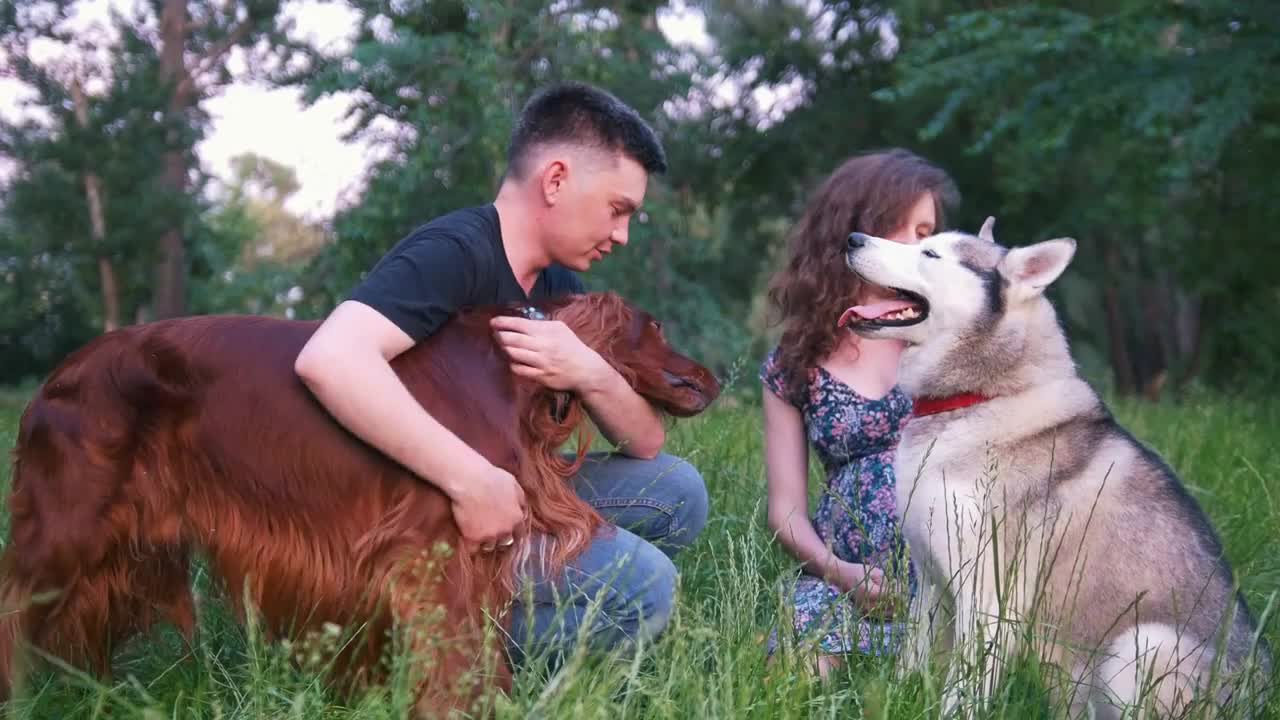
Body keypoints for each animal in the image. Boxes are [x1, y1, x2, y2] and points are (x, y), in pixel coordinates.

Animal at [839, 217, 1269, 712]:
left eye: (929, 253)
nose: (852, 238)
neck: (981, 398)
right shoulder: (930, 579)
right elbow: (912, 658)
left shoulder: (989, 596)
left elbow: (963, 689)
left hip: (1142, 644)